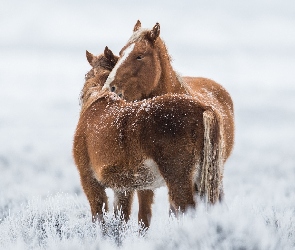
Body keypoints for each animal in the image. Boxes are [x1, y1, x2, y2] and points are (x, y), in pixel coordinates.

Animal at [74, 46, 224, 227]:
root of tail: (203, 108)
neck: (97, 100)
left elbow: (99, 219)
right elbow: (120, 220)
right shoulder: (123, 189)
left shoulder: (90, 182)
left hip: (179, 180)